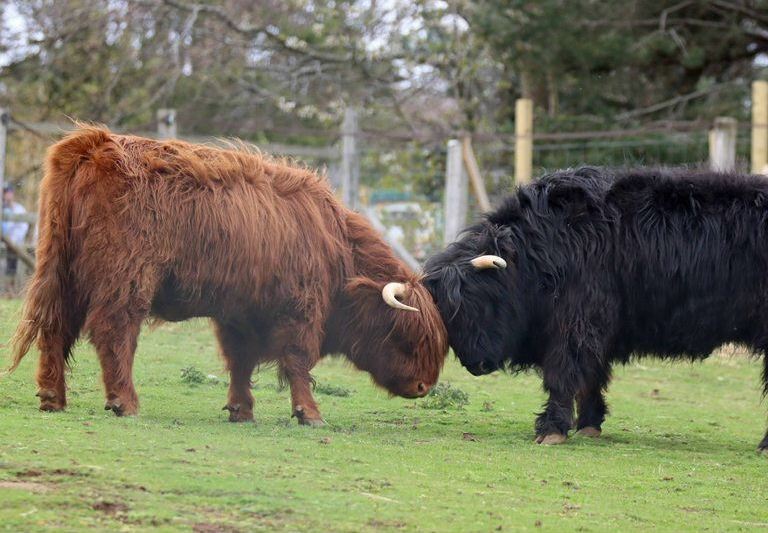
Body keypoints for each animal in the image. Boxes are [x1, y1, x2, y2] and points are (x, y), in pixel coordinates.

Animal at [8, 127, 448, 425]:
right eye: (406, 334)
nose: (423, 387)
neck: (333, 244)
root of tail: (94, 143)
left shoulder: (240, 312)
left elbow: (241, 360)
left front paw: (241, 410)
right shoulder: (301, 309)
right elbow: (297, 361)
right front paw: (309, 413)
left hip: (61, 272)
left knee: (55, 327)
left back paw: (52, 397)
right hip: (126, 278)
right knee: (114, 331)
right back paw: (124, 402)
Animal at [424, 166, 768, 450]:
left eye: (477, 302)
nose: (475, 365)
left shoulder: (575, 324)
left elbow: (564, 374)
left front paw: (551, 430)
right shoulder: (597, 329)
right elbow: (591, 376)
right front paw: (588, 425)